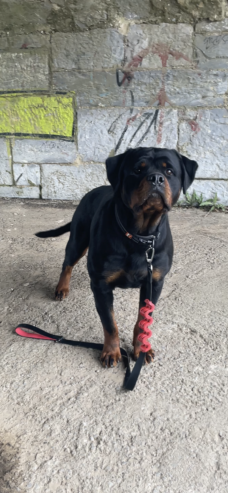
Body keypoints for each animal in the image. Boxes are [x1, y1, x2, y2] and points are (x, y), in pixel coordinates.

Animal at [36, 148, 198, 368]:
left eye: (170, 171)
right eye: (138, 169)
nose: (156, 178)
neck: (139, 236)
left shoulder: (154, 283)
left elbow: (142, 321)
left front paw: (141, 348)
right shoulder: (101, 285)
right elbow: (110, 323)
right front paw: (112, 351)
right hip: (78, 240)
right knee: (67, 263)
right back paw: (62, 288)